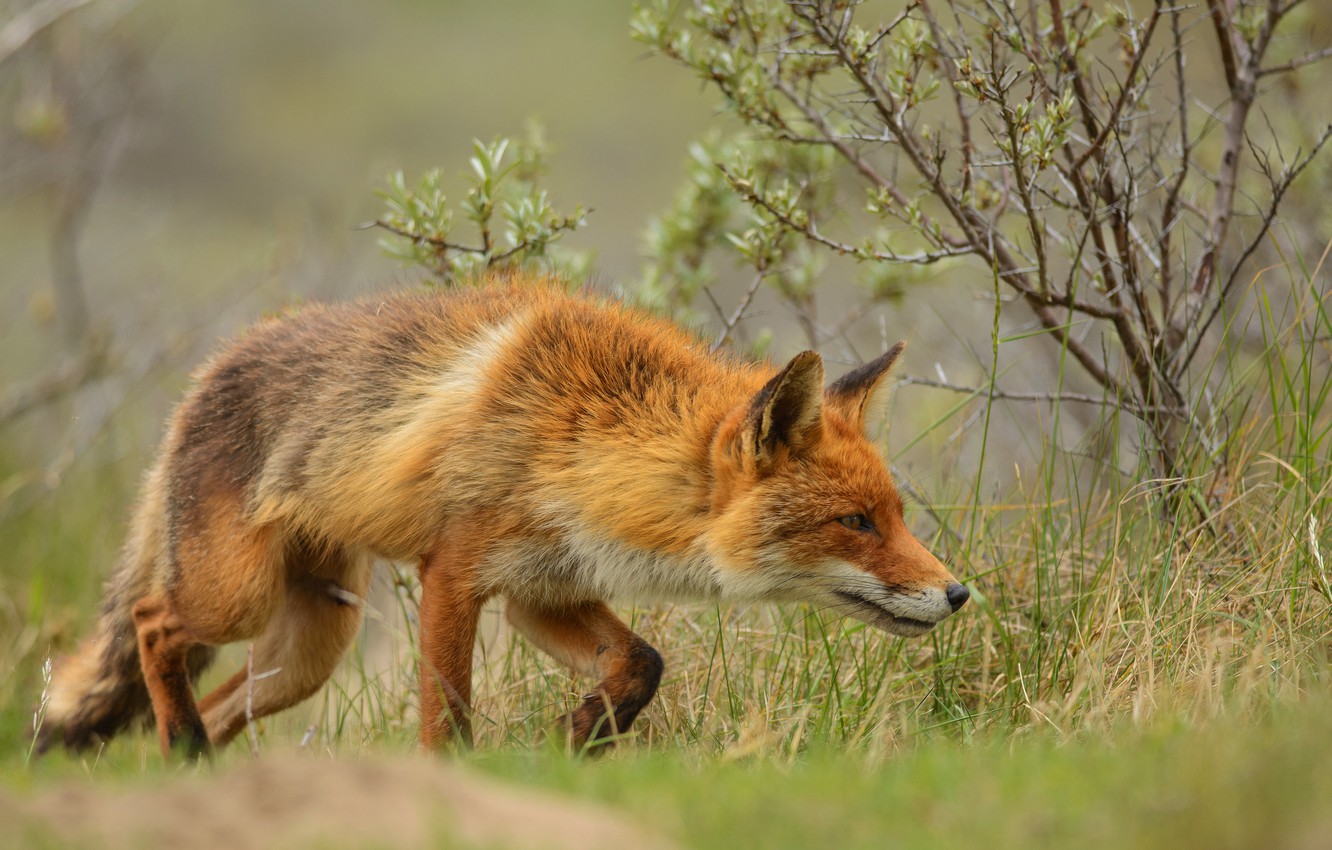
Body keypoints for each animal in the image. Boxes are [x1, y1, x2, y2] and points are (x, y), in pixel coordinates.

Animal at [37, 274, 968, 759]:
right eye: (855, 524)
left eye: (895, 514)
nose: (960, 595)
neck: (576, 441)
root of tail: (204, 374)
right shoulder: (455, 575)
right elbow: (446, 720)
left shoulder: (541, 592)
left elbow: (642, 664)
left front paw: (579, 738)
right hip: (236, 598)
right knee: (152, 623)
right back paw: (182, 745)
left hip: (310, 648)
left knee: (227, 699)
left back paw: (195, 771)